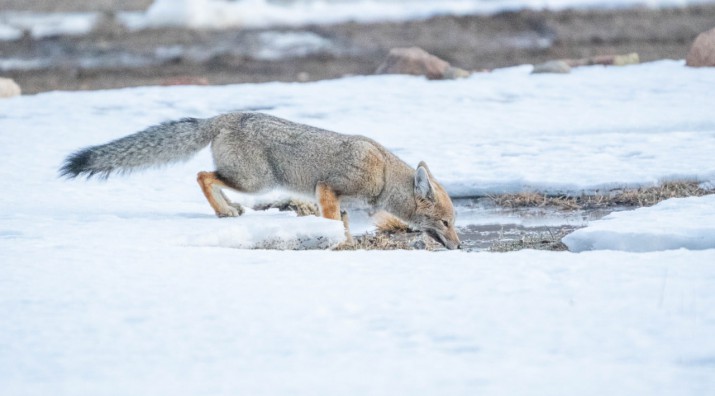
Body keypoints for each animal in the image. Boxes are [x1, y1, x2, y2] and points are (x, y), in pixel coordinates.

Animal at [61, 111, 464, 249]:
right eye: (446, 223)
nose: (460, 247)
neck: (382, 175)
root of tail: (227, 116)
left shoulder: (340, 202)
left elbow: (343, 225)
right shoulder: (327, 189)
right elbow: (335, 227)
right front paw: (342, 246)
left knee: (207, 177)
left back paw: (228, 210)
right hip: (256, 182)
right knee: (202, 175)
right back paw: (225, 211)